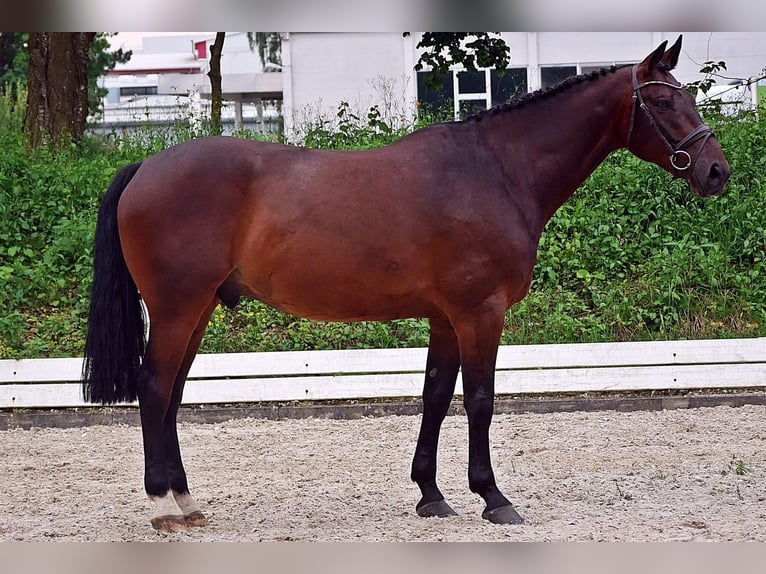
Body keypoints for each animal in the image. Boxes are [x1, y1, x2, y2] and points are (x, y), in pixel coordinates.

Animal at [81, 35, 728, 532]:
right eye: (664, 101)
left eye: (690, 95)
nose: (716, 171)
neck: (496, 171)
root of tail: (148, 166)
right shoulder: (480, 312)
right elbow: (480, 399)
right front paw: (493, 498)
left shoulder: (446, 317)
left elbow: (436, 397)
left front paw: (431, 495)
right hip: (176, 308)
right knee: (154, 388)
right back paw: (163, 506)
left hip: (196, 311)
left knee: (171, 394)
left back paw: (186, 500)